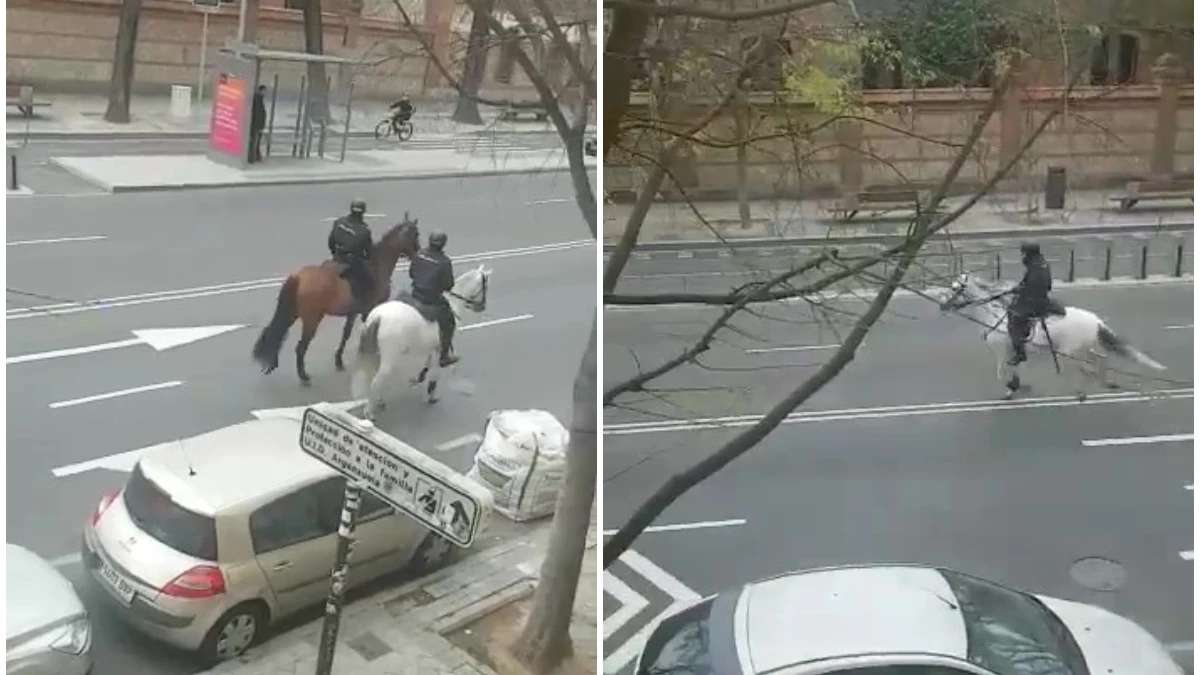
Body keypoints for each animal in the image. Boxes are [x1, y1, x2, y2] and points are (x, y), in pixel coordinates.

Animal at [250, 212, 420, 386]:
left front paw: (339, 360)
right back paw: (303, 376)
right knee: (300, 347)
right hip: (312, 320)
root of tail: (298, 277)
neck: (376, 266)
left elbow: (346, 334)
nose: (418, 254)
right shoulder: (370, 311)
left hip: (292, 313)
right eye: (416, 234)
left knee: (278, 332)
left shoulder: (352, 313)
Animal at [352, 264, 489, 415]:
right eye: (485, 285)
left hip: (377, 355)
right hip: (389, 359)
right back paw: (369, 412)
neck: (453, 303)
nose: (482, 307)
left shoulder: (431, 349)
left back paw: (378, 402)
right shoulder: (439, 350)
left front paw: (420, 378)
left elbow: (426, 366)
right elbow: (435, 372)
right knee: (376, 381)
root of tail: (378, 317)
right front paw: (431, 395)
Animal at [936, 271, 1161, 398]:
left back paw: (1083, 389)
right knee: (1099, 358)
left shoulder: (1002, 352)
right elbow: (1016, 369)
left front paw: (1009, 389)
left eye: (955, 288)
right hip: (1083, 348)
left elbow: (1003, 372)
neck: (995, 317)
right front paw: (1017, 386)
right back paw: (1103, 381)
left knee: (1085, 366)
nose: (942, 305)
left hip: (1071, 351)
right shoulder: (1013, 352)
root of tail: (1096, 320)